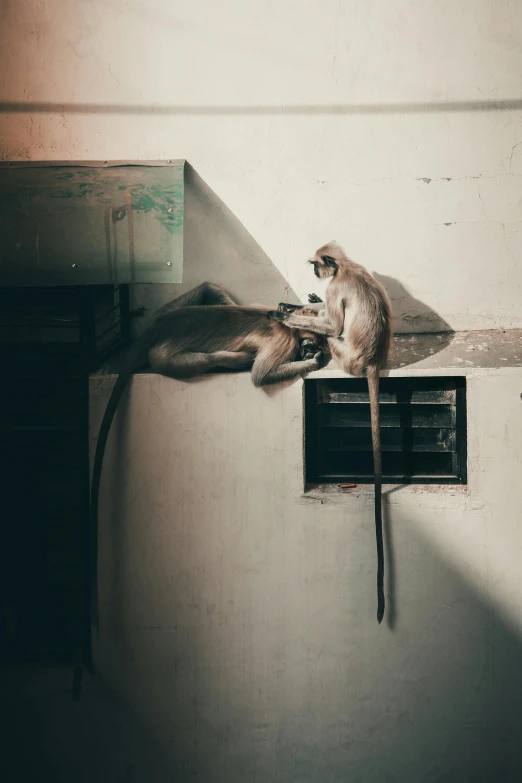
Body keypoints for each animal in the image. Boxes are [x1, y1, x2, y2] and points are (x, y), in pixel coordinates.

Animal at [268, 243, 390, 624]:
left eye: (316, 265)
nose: (313, 275)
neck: (346, 269)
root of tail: (372, 361)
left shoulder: (337, 288)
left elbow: (333, 321)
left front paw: (285, 315)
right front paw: (295, 305)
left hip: (343, 355)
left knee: (331, 332)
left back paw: (313, 345)